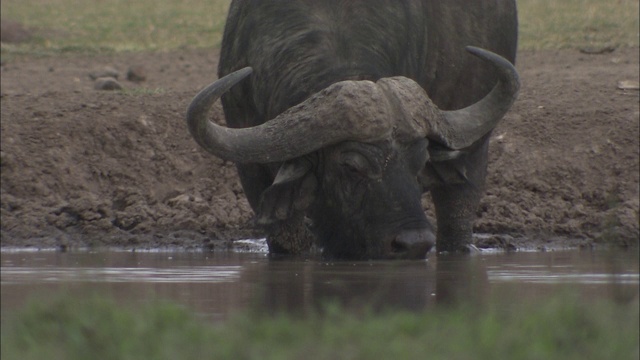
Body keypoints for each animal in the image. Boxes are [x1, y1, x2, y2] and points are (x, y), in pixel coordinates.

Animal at [186, 0, 520, 258]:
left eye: (421, 163)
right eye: (351, 166)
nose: (413, 244)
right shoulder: (251, 167)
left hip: (475, 147)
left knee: (458, 208)